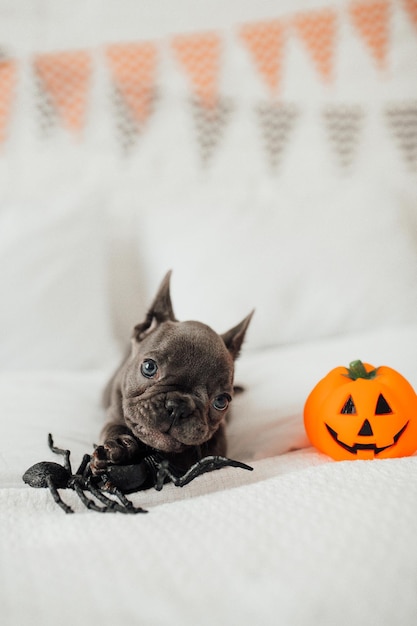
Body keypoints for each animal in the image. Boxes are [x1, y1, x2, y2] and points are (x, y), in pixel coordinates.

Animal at [90, 270, 252, 470]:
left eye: (221, 401)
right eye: (149, 367)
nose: (179, 406)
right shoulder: (113, 413)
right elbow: (113, 427)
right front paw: (119, 445)